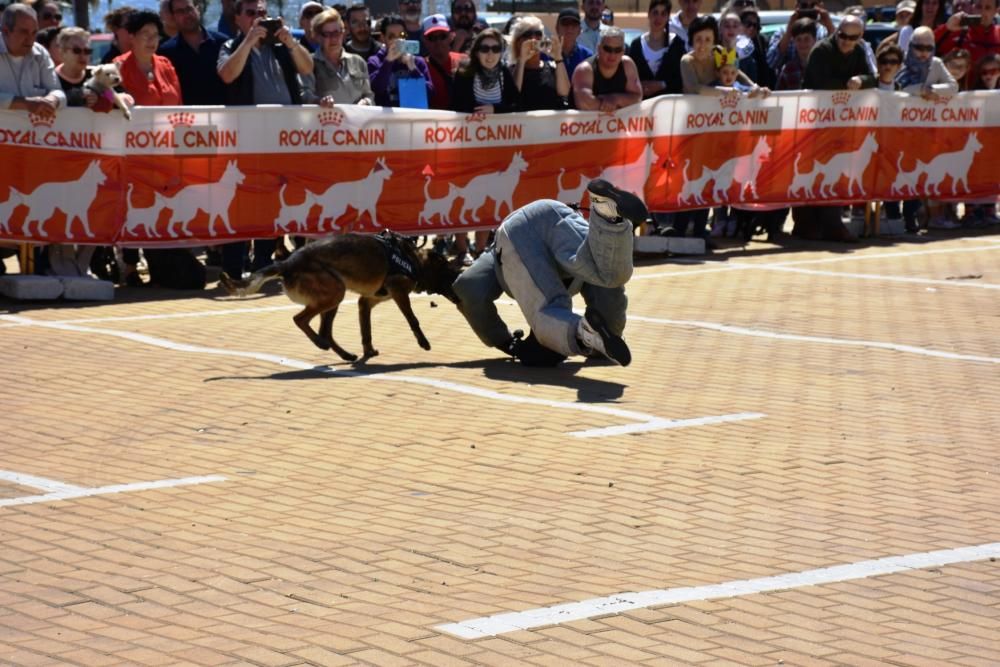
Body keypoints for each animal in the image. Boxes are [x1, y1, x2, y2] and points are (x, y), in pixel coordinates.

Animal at [219, 232, 460, 362]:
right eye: (449, 273)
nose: (460, 278)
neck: (412, 260)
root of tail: (288, 262)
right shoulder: (399, 292)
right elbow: (413, 319)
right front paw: (423, 342)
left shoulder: (366, 302)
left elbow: (366, 331)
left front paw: (368, 351)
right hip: (335, 292)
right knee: (301, 320)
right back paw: (319, 343)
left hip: (333, 298)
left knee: (325, 331)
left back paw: (343, 354)